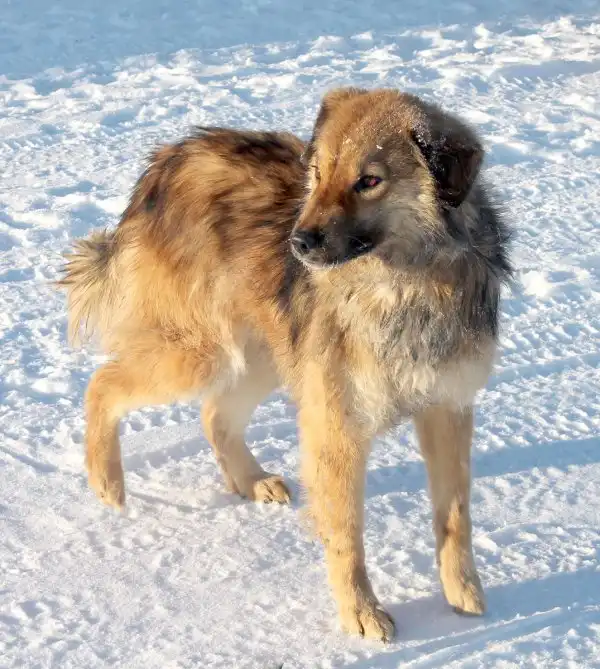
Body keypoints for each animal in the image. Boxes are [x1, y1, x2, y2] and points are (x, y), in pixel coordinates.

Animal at [60, 87, 512, 641]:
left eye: (369, 180)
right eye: (317, 173)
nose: (298, 242)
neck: (406, 284)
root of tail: (168, 158)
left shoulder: (447, 408)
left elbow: (455, 515)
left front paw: (462, 592)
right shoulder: (336, 425)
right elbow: (346, 530)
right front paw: (360, 612)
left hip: (264, 354)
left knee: (213, 414)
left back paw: (249, 480)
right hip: (203, 353)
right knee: (102, 383)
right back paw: (107, 482)